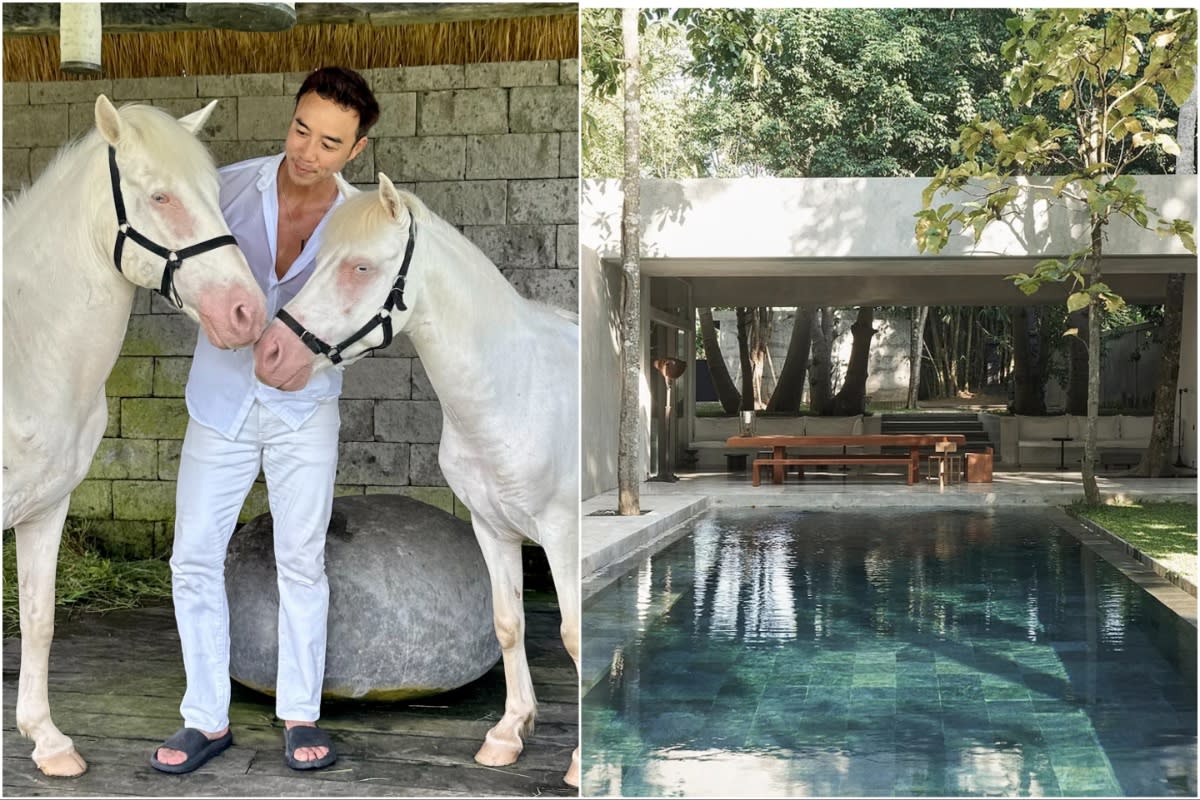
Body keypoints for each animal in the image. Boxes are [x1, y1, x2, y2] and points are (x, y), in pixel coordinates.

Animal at [3, 97, 267, 777]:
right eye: (160, 197)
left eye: (215, 195)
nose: (247, 314)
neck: (21, 348)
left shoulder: (45, 508)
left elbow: (39, 619)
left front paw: (48, 741)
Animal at [255, 173, 583, 786]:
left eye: (361, 266)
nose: (270, 354)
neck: (516, 388)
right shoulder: (492, 528)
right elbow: (509, 623)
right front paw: (509, 732)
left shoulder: (562, 536)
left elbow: (574, 634)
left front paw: (579, 763)